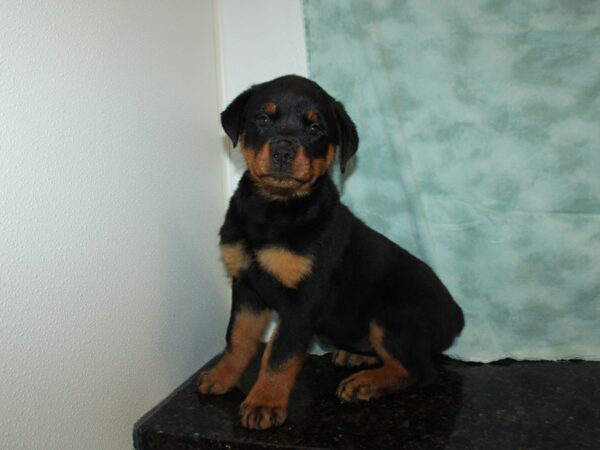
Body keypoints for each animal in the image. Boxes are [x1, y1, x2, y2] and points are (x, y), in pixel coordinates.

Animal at [197, 75, 464, 430]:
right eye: (263, 118)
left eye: (315, 128)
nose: (283, 150)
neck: (274, 209)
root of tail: (457, 317)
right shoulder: (246, 287)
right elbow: (238, 337)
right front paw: (222, 376)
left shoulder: (303, 300)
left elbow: (279, 354)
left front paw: (264, 402)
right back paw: (358, 357)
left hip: (394, 317)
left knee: (420, 370)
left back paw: (367, 383)